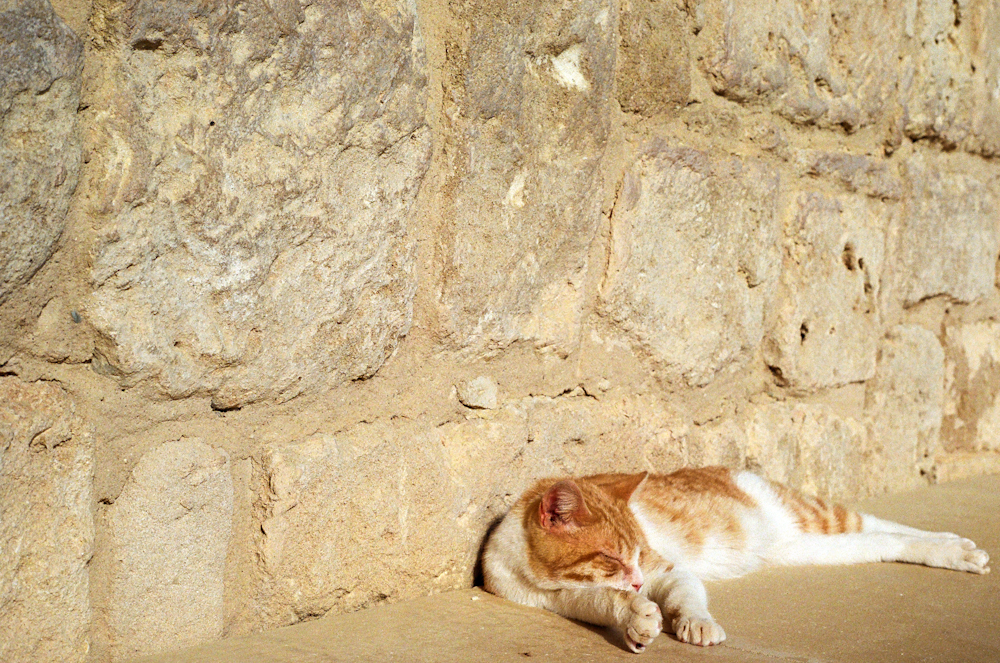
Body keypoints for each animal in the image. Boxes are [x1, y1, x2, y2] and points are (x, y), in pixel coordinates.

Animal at [484, 466, 992, 652]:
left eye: (636, 551)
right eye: (610, 556)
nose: (637, 582)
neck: (539, 578)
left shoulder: (667, 568)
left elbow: (687, 595)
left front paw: (695, 622)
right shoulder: (565, 600)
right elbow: (605, 602)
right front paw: (636, 619)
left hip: (819, 517)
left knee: (883, 523)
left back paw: (957, 546)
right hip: (808, 548)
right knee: (885, 541)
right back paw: (953, 547)